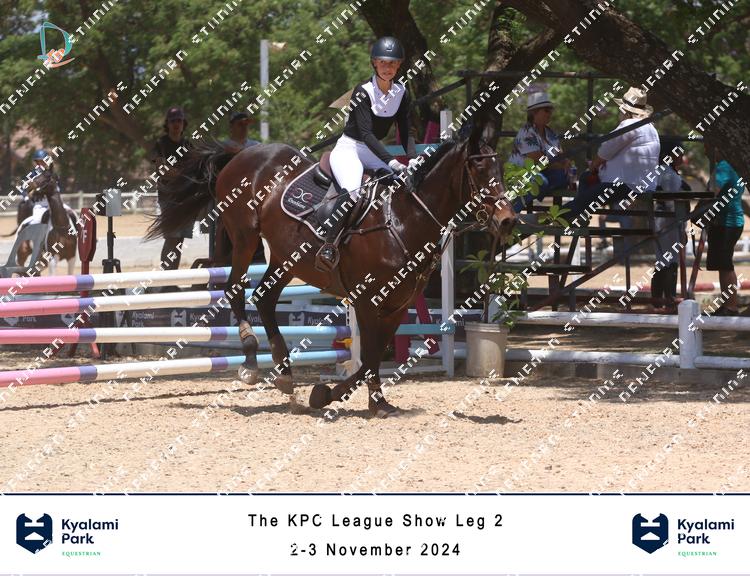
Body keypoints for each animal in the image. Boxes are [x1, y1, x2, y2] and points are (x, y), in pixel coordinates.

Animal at [146, 133, 516, 418]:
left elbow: (372, 357)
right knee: (236, 291)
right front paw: (359, 400)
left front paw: (339, 396)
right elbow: (368, 357)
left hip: (286, 257)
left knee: (264, 298)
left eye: (500, 167)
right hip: (244, 238)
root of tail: (242, 153)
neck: (403, 219)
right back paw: (251, 361)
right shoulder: (367, 300)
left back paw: (285, 374)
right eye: (479, 168)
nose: (508, 220)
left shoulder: (397, 307)